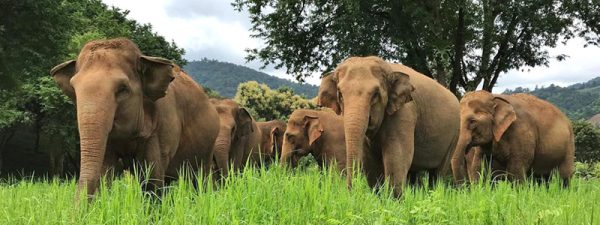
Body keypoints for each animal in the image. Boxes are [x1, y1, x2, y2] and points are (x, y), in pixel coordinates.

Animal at [49, 38, 218, 199]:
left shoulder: (163, 127)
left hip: (208, 145)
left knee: (200, 180)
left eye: (122, 89)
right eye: (74, 89)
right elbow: (105, 173)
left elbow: (152, 180)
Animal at [318, 55, 460, 197]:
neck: (388, 68)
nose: (351, 194)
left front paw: (393, 200)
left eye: (375, 94)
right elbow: (370, 160)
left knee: (437, 173)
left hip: (454, 137)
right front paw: (379, 197)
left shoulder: (405, 112)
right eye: (340, 94)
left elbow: (397, 156)